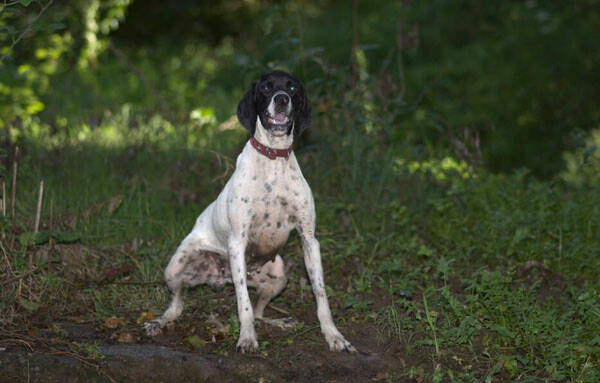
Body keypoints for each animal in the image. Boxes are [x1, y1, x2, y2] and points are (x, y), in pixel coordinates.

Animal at [144, 70, 356, 354]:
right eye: (266, 88)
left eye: (292, 88)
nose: (281, 99)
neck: (273, 158)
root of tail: (219, 277)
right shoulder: (237, 242)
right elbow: (243, 302)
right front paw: (246, 338)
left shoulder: (309, 240)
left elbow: (320, 294)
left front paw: (333, 336)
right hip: (176, 268)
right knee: (177, 304)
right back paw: (159, 322)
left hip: (279, 276)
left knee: (259, 311)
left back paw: (280, 322)